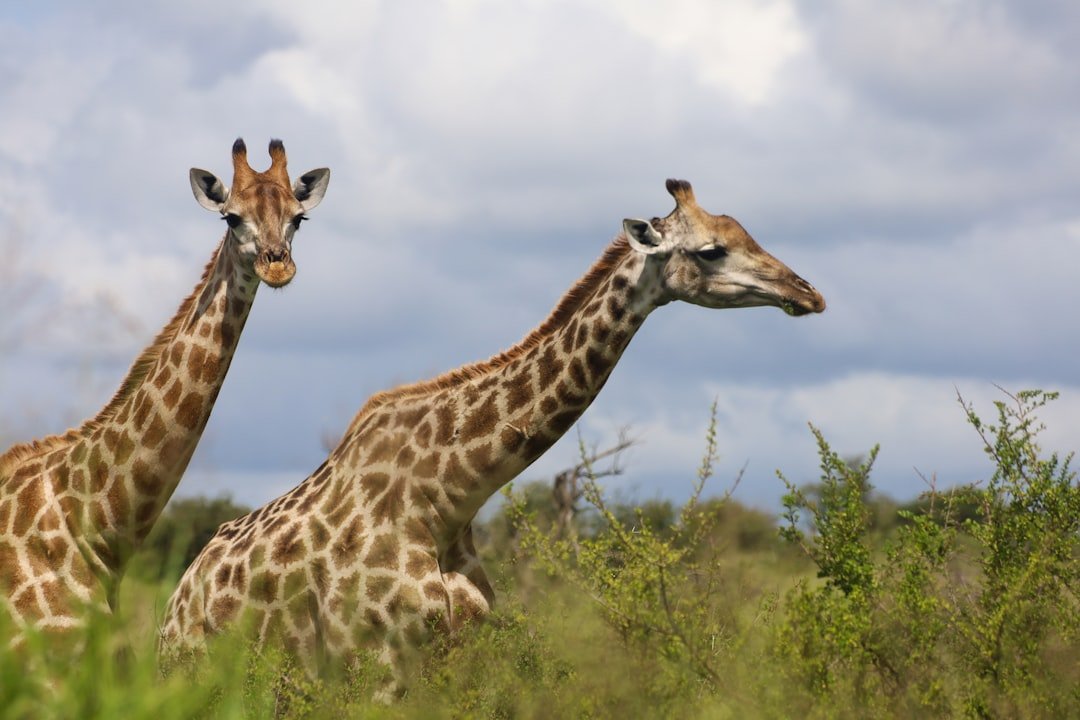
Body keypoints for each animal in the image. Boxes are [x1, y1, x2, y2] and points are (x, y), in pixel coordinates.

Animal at [159, 179, 824, 695]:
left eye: (746, 232)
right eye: (712, 251)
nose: (808, 293)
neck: (447, 499)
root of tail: (174, 606)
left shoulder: (458, 654)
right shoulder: (373, 665)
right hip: (203, 672)